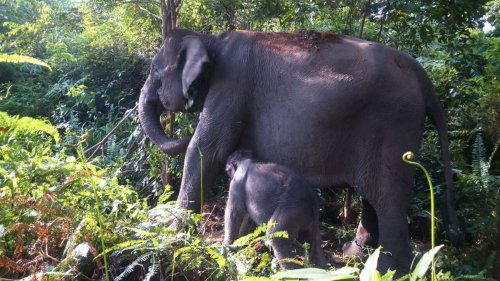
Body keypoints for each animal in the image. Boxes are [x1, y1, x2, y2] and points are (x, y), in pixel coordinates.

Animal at [138, 29, 464, 272]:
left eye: (155, 69)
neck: (211, 40)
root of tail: (421, 75)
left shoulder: (230, 85)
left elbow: (205, 149)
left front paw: (169, 233)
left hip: (395, 122)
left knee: (389, 197)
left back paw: (387, 270)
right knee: (375, 196)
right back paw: (354, 254)